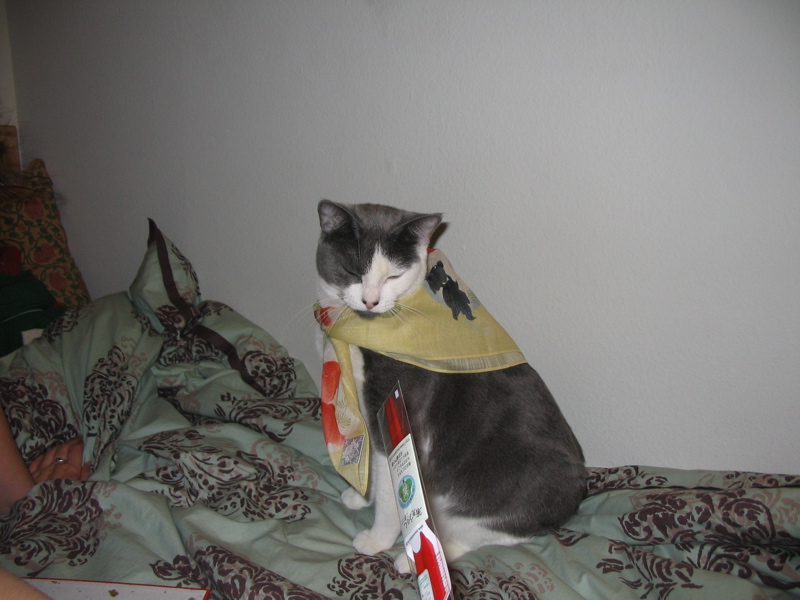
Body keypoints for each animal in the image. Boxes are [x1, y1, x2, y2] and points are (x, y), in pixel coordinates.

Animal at [316, 200, 586, 568]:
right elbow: (371, 464)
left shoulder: (402, 411)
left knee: (497, 533)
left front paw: (376, 539)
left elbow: (390, 487)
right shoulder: (365, 410)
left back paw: (417, 557)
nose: (370, 300)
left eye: (393, 276)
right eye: (353, 271)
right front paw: (360, 497)